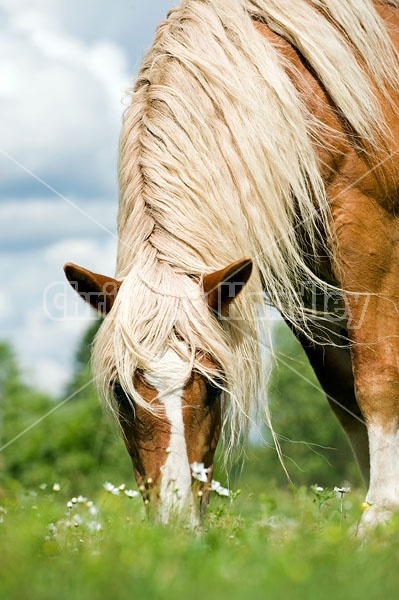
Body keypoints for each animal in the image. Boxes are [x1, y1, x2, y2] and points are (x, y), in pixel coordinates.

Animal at [64, 0, 399, 528]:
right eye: (119, 391)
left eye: (217, 385)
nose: (174, 525)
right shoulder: (309, 288)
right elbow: (345, 399)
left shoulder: (369, 234)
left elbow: (377, 379)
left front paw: (380, 519)